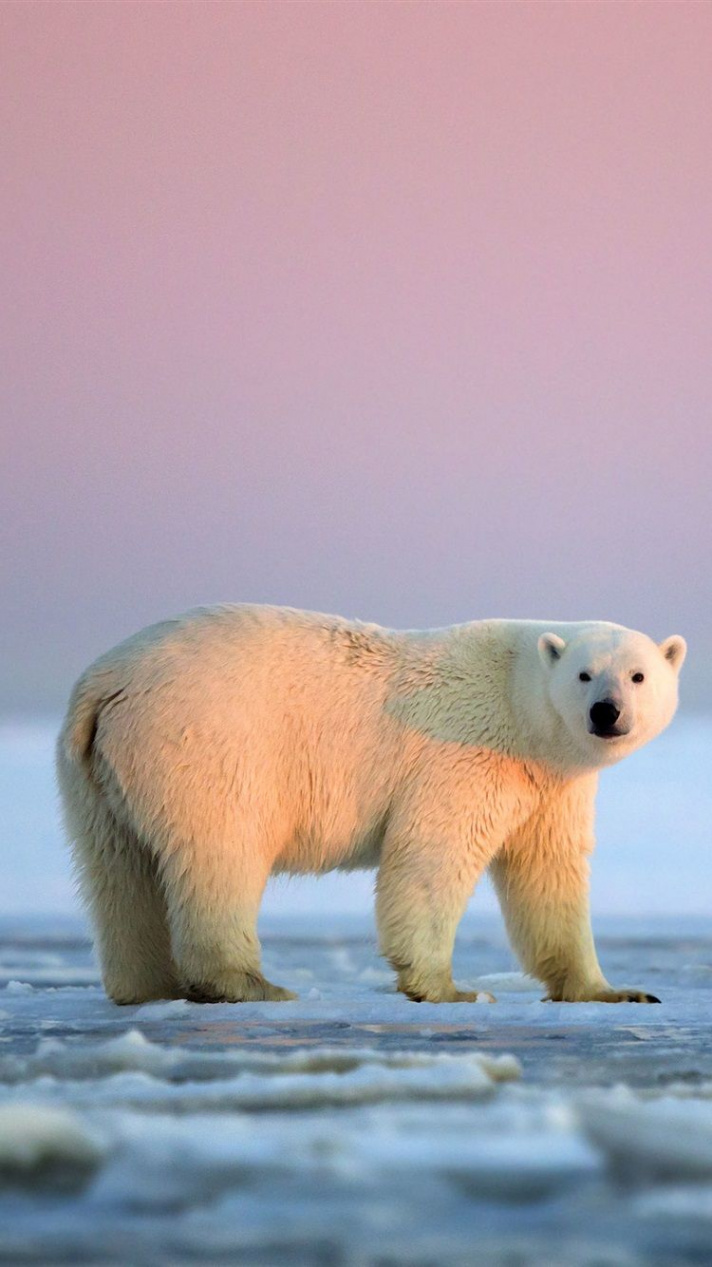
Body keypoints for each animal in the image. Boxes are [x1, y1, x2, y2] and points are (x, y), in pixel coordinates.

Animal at [56, 608, 684, 1003]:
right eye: (584, 674)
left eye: (638, 674)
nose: (606, 711)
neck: (517, 700)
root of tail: (103, 682)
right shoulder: (464, 755)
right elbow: (431, 858)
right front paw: (451, 989)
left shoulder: (549, 785)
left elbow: (548, 875)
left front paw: (616, 991)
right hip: (204, 743)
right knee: (220, 855)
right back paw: (251, 984)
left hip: (95, 774)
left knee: (118, 873)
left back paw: (146, 987)